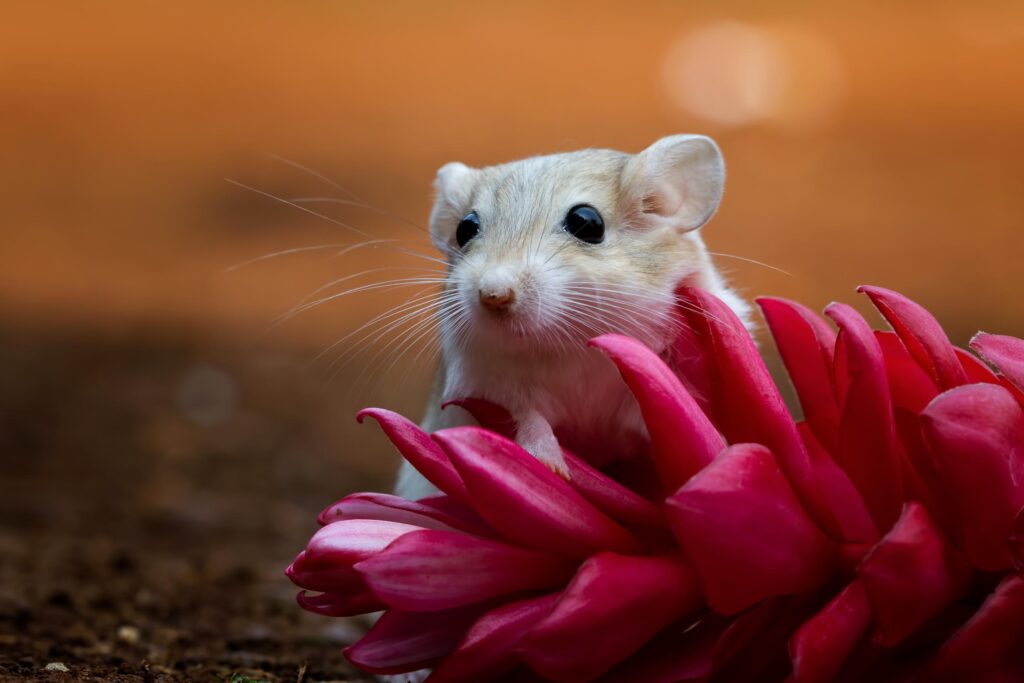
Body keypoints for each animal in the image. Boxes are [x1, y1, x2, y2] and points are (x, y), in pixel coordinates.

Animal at [395, 134, 752, 501]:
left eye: (587, 222)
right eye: (465, 228)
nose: (493, 296)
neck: (574, 339)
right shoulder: (489, 382)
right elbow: (528, 417)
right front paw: (551, 468)